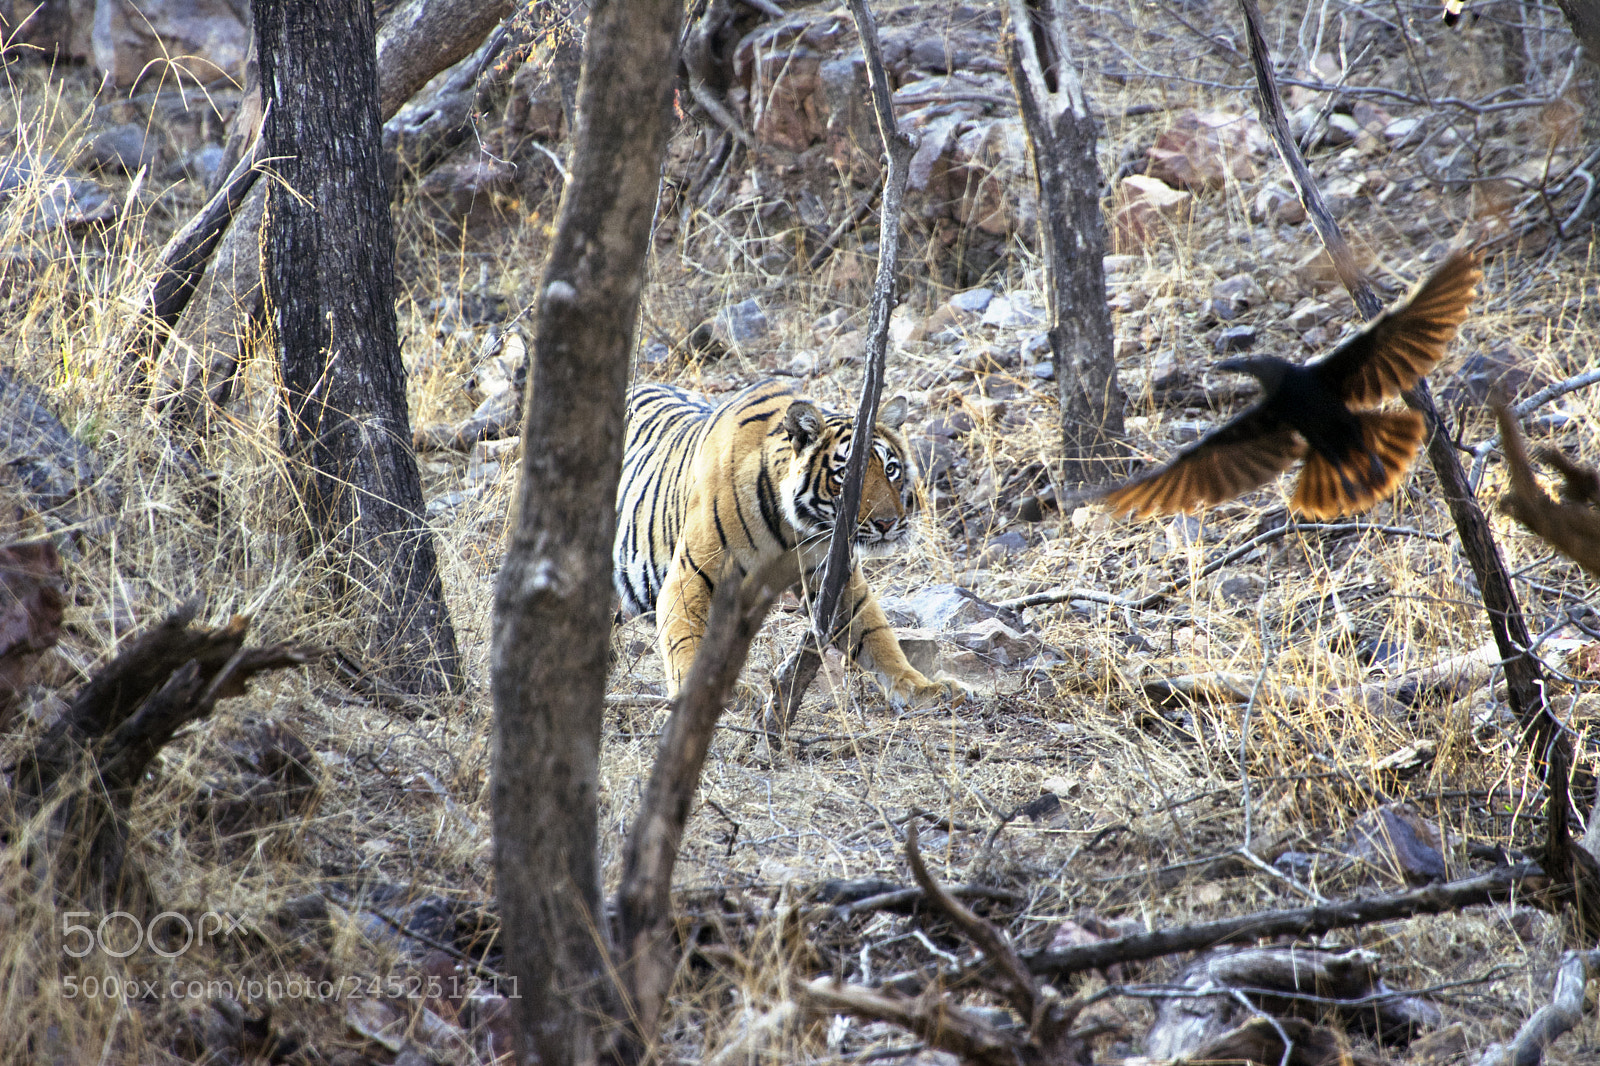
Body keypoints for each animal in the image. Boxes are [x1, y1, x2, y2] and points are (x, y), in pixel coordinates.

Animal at [612, 378, 963, 709]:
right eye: (848, 476)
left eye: (891, 470)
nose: (888, 524)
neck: (793, 526)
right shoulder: (692, 575)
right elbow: (687, 639)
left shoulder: (835, 576)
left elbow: (876, 634)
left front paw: (920, 687)